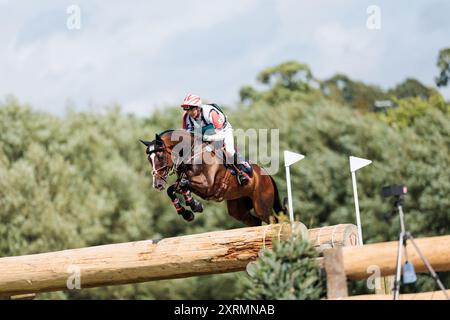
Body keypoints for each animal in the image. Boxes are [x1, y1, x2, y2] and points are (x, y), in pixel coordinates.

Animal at [140, 129, 284, 226]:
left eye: (160, 155)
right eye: (149, 159)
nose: (157, 185)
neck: (192, 155)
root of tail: (267, 175)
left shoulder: (208, 185)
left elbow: (184, 184)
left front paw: (195, 205)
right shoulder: (185, 183)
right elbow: (173, 189)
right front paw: (187, 213)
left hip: (262, 206)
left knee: (273, 220)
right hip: (238, 208)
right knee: (255, 221)